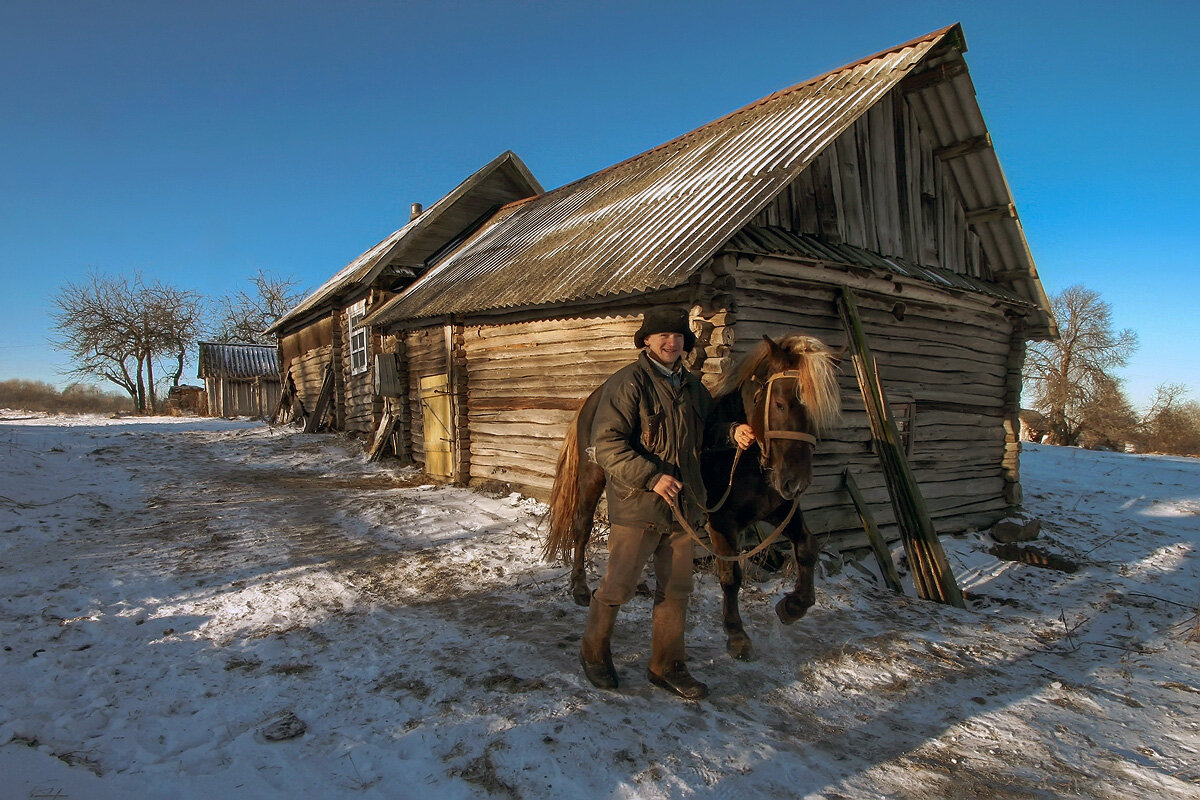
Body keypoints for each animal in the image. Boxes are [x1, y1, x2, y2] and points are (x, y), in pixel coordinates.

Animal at [547, 335, 844, 662]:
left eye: (817, 412)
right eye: (779, 403)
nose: (796, 483)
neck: (742, 459)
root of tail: (593, 399)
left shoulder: (780, 510)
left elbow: (807, 546)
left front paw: (793, 606)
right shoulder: (723, 521)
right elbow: (731, 576)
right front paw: (737, 636)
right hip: (592, 478)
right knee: (583, 528)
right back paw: (580, 589)